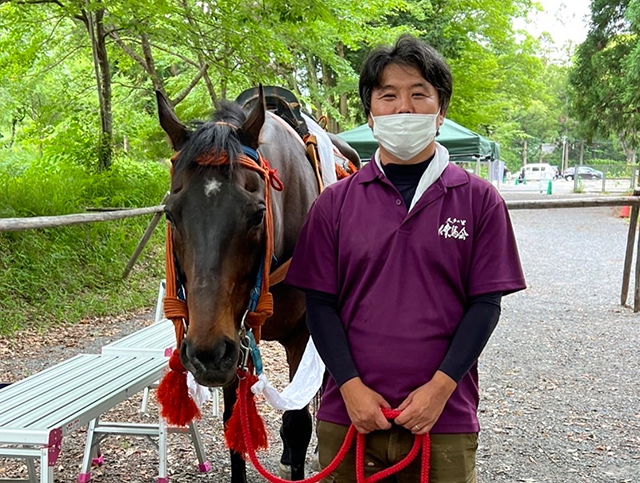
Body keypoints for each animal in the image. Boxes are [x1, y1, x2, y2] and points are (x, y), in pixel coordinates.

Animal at [155, 88, 344, 483]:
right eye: (170, 214)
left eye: (258, 214)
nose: (205, 352)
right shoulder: (231, 338)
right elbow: (235, 425)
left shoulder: (300, 336)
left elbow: (298, 422)